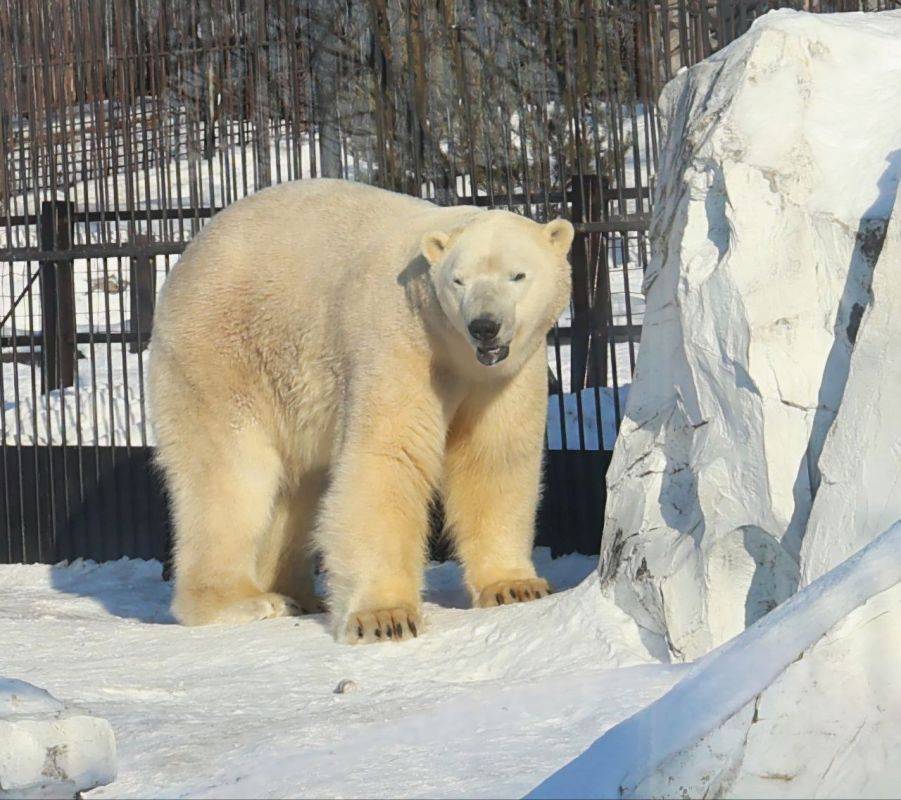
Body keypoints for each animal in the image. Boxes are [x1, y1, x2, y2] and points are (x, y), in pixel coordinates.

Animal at [146, 178, 568, 640]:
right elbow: (386, 457)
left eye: (518, 275)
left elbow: (494, 457)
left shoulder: (506, 373)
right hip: (220, 355)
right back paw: (243, 600)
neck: (456, 353)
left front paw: (516, 586)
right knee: (230, 475)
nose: (484, 326)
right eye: (459, 280)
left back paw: (296, 595)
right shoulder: (401, 340)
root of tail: (187, 257)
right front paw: (385, 617)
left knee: (297, 488)